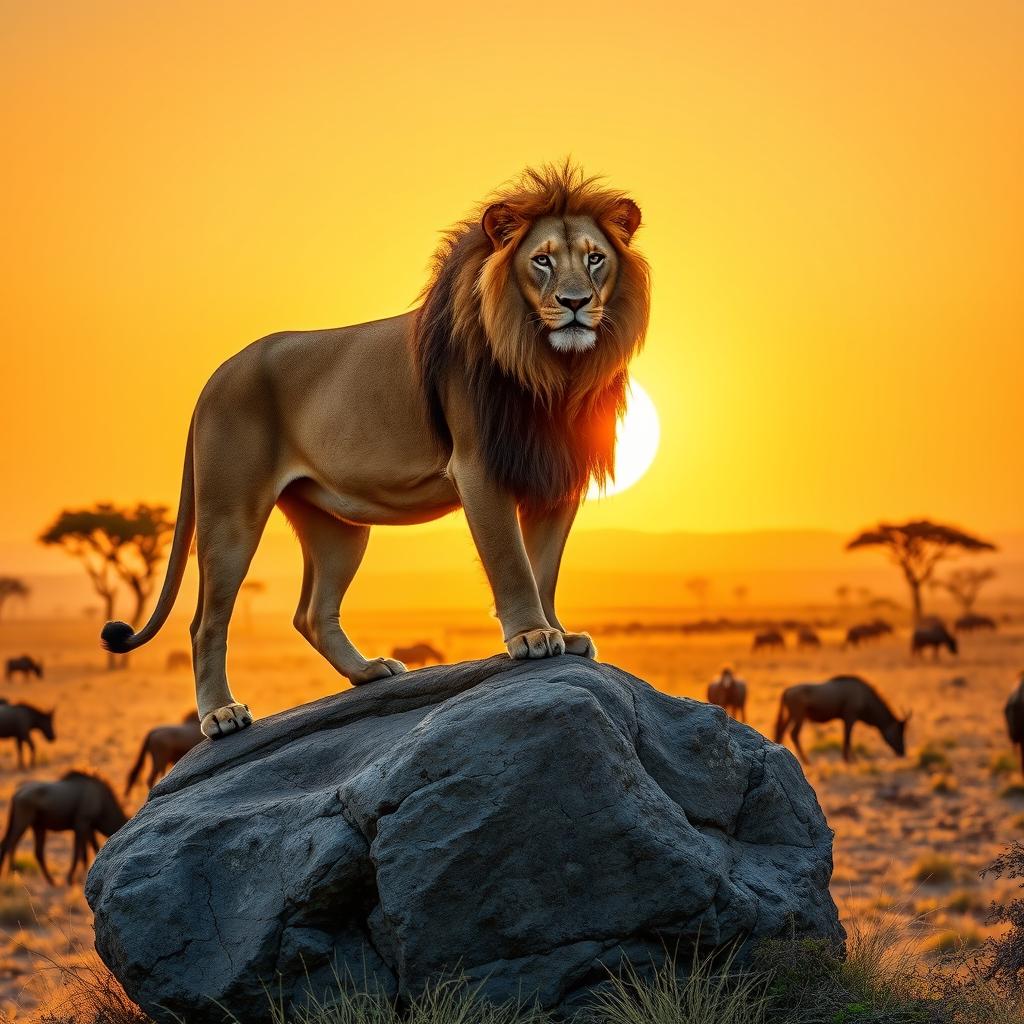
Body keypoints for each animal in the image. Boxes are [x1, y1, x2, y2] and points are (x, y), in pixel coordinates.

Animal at [101, 161, 647, 737]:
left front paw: (560, 633)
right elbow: (512, 561)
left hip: (337, 526)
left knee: (312, 613)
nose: (575, 303)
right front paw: (531, 637)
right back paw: (222, 714)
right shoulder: (478, 467)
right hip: (230, 512)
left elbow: (545, 567)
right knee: (205, 622)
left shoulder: (555, 474)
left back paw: (368, 672)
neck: (554, 369)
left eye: (594, 257)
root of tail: (215, 376)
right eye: (541, 260)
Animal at [770, 675, 909, 765]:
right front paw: (849, 760)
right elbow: (847, 738)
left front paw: (851, 759)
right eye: (899, 732)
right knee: (794, 734)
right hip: (799, 716)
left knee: (781, 730)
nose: (903, 752)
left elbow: (847, 739)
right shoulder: (850, 717)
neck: (865, 697)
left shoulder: (847, 719)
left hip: (791, 716)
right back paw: (806, 761)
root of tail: (787, 690)